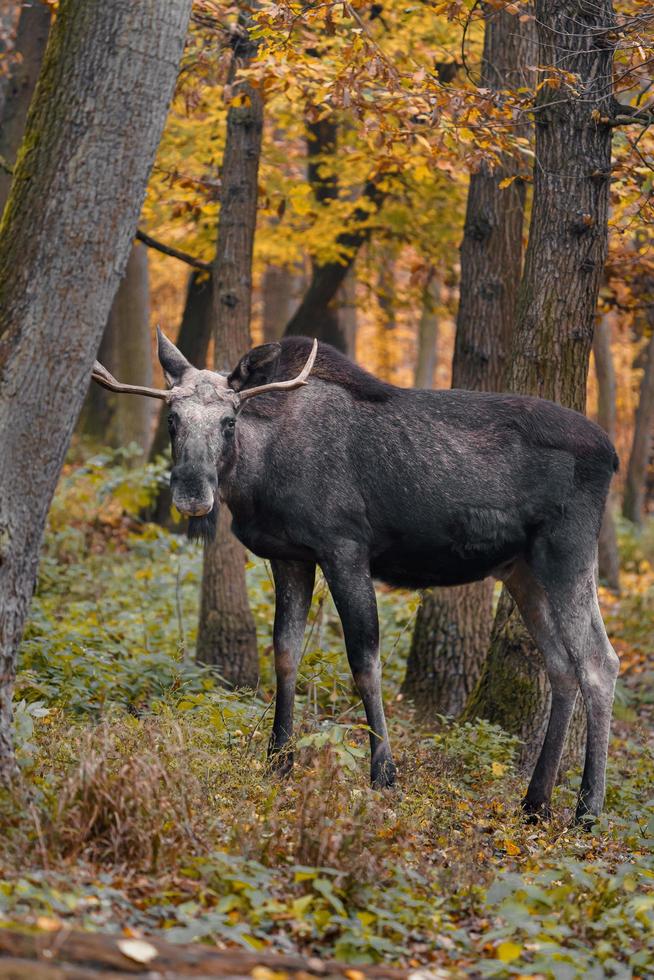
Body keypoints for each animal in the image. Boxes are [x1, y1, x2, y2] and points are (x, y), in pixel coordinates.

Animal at [92, 334, 620, 824]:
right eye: (172, 420)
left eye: (229, 421)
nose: (192, 494)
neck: (260, 478)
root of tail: (612, 454)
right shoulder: (290, 557)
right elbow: (285, 652)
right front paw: (279, 759)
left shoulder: (344, 548)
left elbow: (364, 660)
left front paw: (383, 773)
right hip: (523, 569)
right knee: (561, 665)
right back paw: (536, 801)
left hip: (567, 551)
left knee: (599, 661)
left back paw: (587, 810)